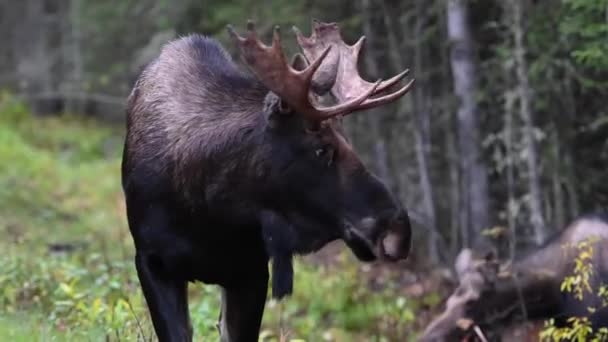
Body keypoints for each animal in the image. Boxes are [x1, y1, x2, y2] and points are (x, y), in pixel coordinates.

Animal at [120, 20, 414, 340]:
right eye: (321, 148)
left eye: (348, 139)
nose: (400, 230)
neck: (209, 210)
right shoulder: (152, 261)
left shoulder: (251, 270)